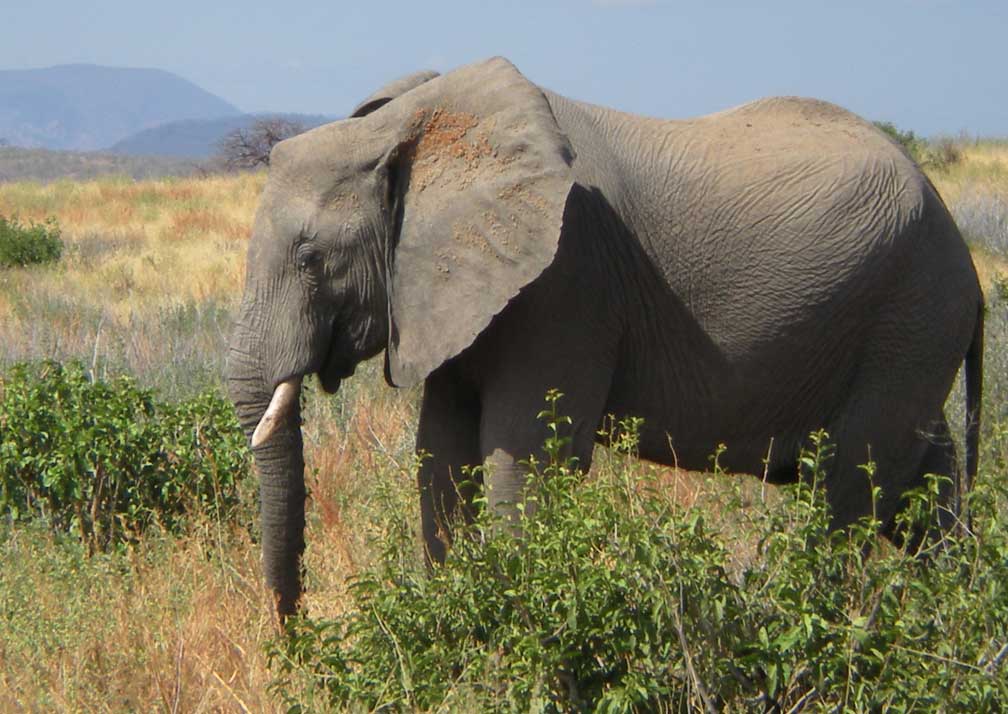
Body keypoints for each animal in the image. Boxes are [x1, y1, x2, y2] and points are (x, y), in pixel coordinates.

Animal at [226, 55, 983, 617]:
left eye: (310, 258)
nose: (292, 632)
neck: (417, 127)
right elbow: (440, 454)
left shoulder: (568, 283)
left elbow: (527, 458)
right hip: (911, 329)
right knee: (921, 487)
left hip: (911, 311)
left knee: (852, 488)